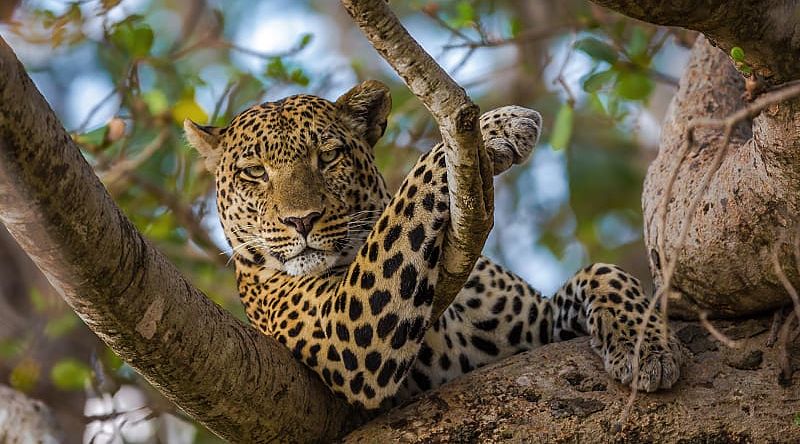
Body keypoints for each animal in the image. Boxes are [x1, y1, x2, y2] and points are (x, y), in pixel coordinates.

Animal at [184, 80, 684, 410]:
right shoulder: (344, 330)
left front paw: (647, 347)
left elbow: (603, 272)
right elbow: (413, 185)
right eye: (254, 172)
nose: (300, 220)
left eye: (328, 157)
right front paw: (497, 126)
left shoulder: (534, 328)